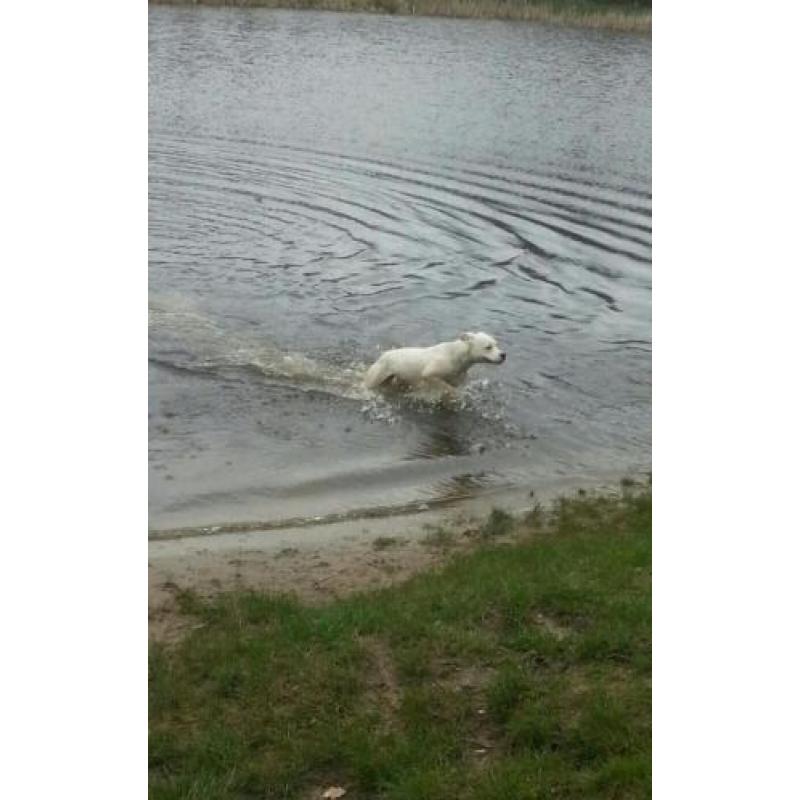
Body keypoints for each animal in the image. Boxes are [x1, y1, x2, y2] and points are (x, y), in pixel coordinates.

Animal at [364, 332, 506, 392]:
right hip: (376, 377)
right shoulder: (429, 375)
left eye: (496, 344)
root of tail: (383, 355)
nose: (504, 354)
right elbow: (444, 386)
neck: (458, 355)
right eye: (488, 347)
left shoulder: (456, 379)